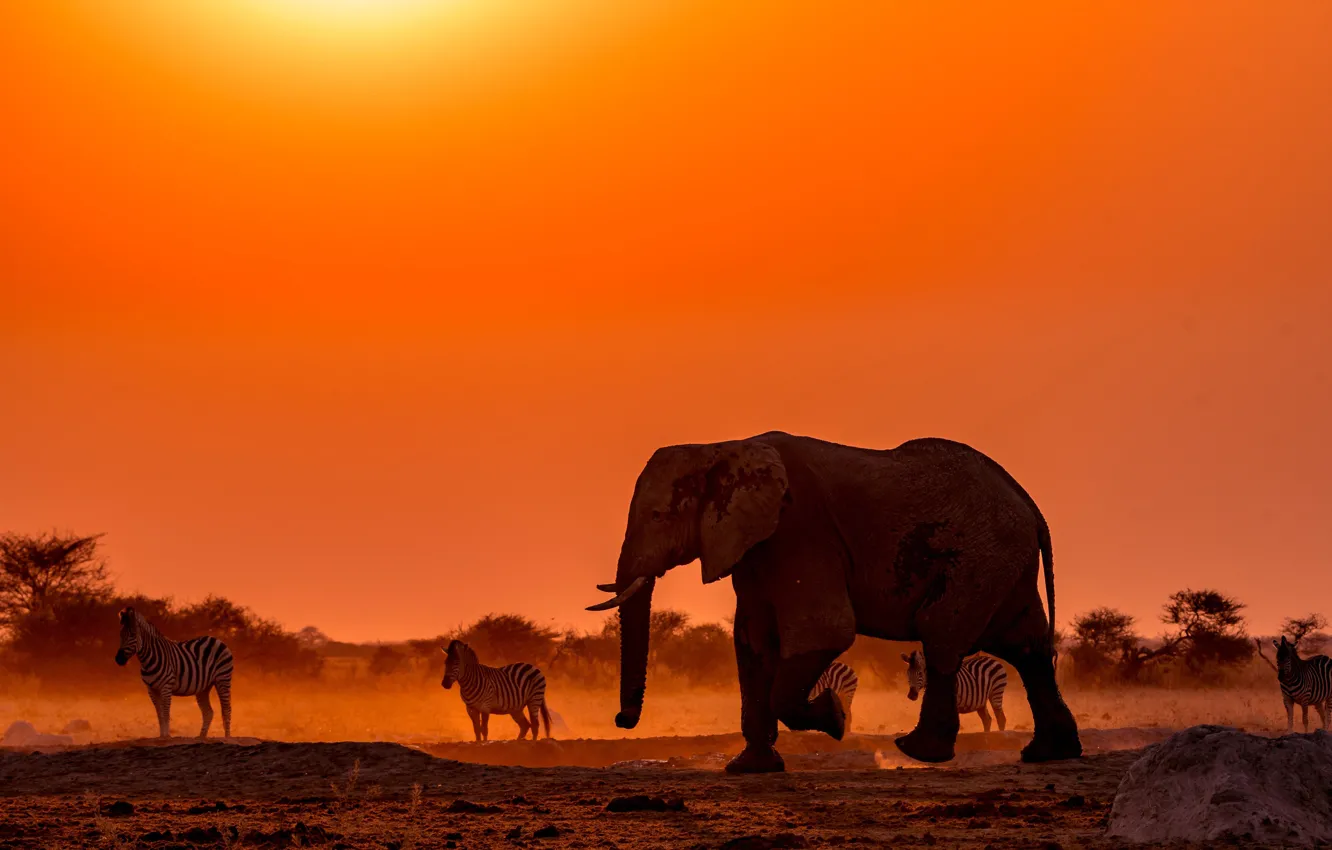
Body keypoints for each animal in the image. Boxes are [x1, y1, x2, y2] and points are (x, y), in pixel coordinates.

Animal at [113, 607, 233, 740]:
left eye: (132, 635)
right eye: (120, 635)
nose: (118, 659)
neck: (149, 658)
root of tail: (216, 639)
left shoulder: (166, 686)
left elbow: (166, 712)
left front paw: (167, 736)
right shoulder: (151, 689)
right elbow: (159, 714)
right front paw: (161, 736)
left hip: (223, 678)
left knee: (226, 709)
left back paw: (228, 737)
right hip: (204, 687)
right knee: (208, 712)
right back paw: (201, 737)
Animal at [588, 436, 1076, 778]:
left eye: (657, 516)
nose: (621, 719)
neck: (720, 447)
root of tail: (1029, 503)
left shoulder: (801, 530)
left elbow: (824, 631)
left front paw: (836, 718)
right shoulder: (755, 546)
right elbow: (751, 642)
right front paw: (749, 769)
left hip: (980, 556)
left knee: (941, 632)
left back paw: (917, 750)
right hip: (1003, 562)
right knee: (1026, 646)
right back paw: (1048, 754)